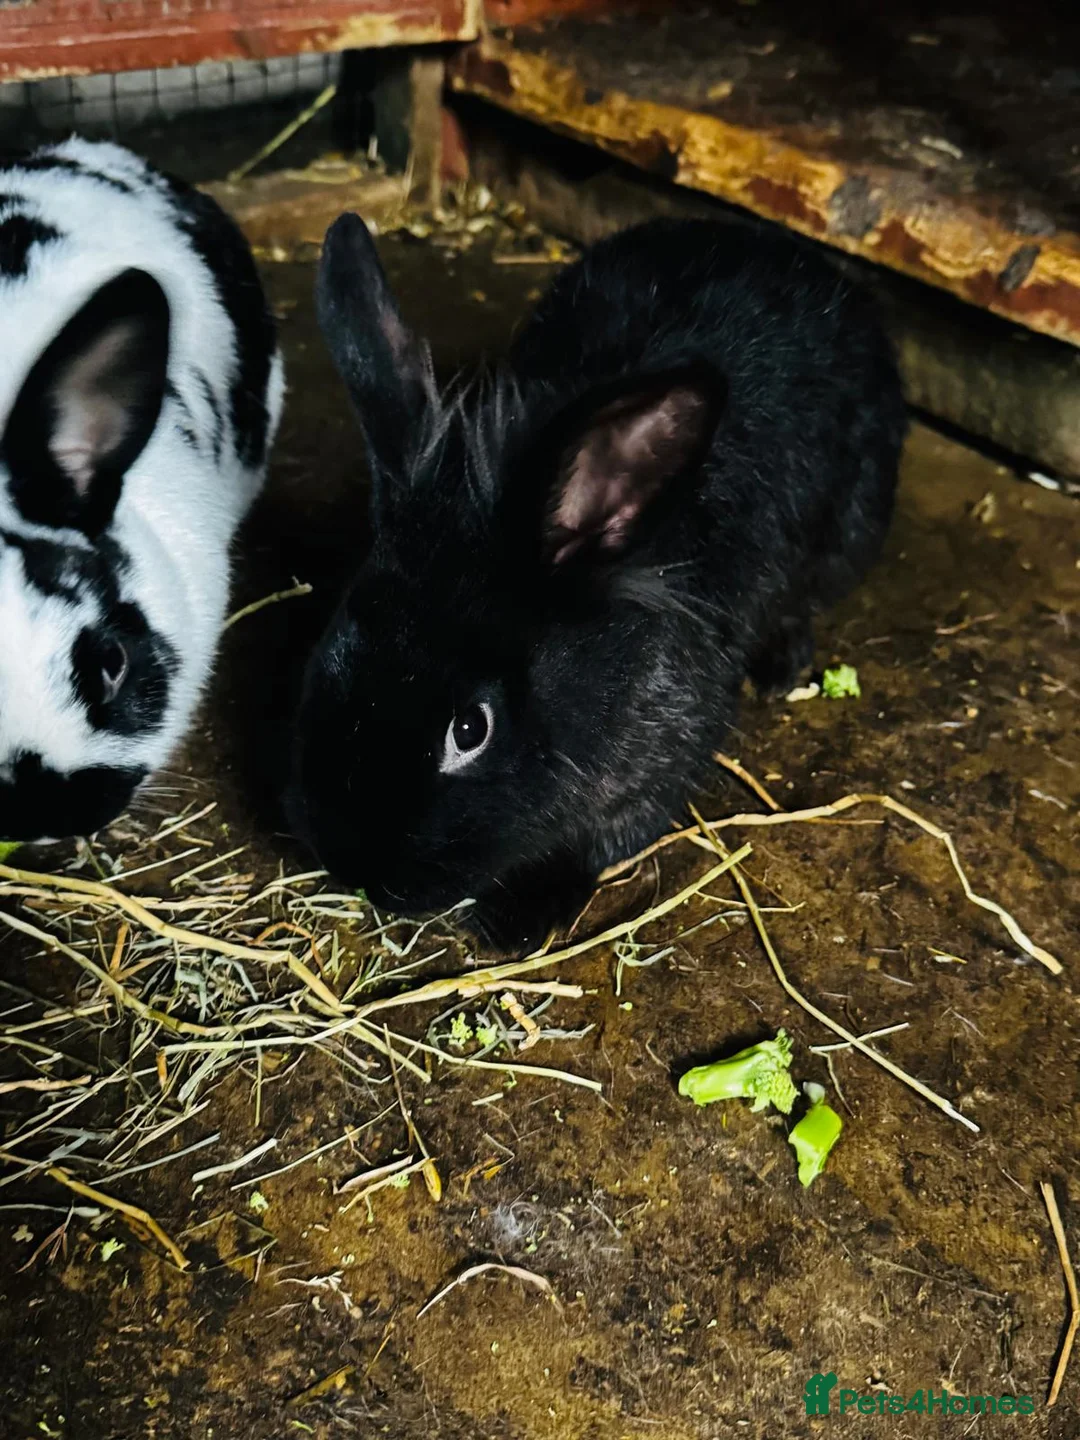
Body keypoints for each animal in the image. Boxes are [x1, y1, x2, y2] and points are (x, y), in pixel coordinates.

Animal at [290, 213, 906, 950]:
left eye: (470, 730)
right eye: (330, 652)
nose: (352, 864)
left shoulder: (663, 756)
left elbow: (599, 843)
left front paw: (520, 921)